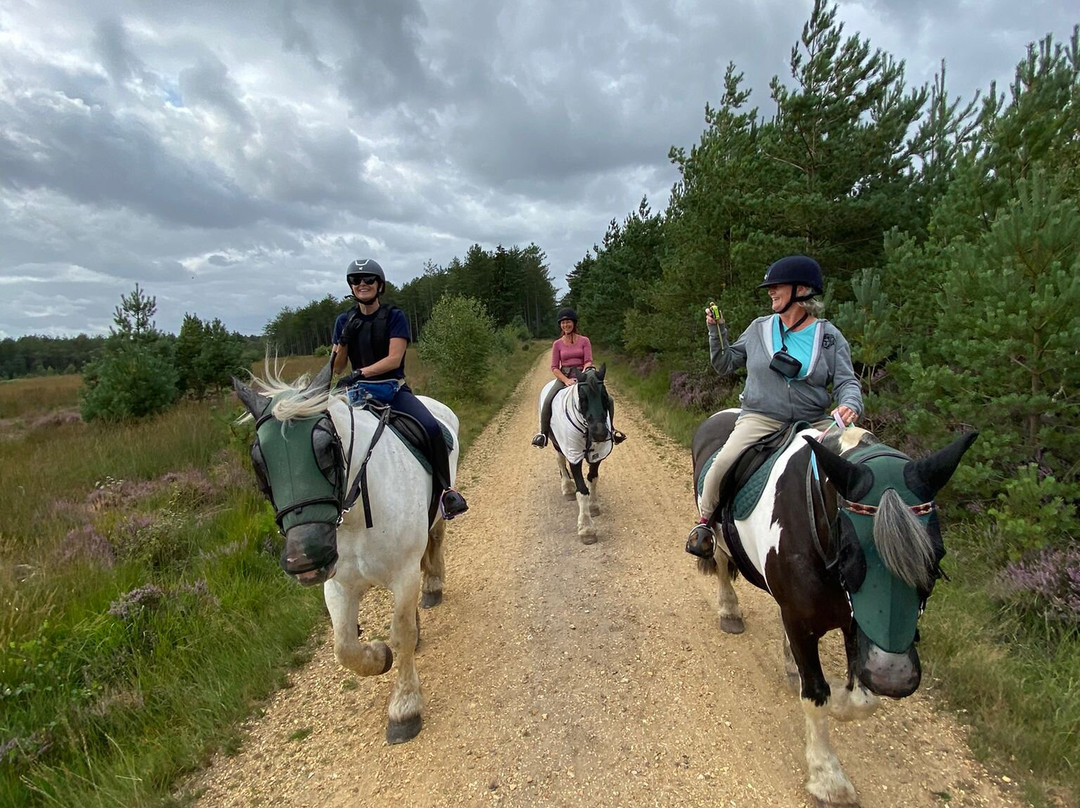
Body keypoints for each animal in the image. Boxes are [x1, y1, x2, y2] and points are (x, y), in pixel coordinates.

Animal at [232, 365, 455, 743]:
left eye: (327, 447)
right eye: (258, 461)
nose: (306, 558)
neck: (355, 516)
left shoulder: (404, 573)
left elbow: (402, 634)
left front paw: (405, 709)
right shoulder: (337, 586)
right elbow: (345, 647)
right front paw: (379, 655)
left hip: (438, 512)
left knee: (435, 540)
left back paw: (433, 587)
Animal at [535, 365, 613, 542]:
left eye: (604, 396)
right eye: (582, 397)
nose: (600, 433)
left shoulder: (597, 455)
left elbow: (593, 479)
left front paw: (593, 506)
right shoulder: (574, 456)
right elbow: (582, 490)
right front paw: (587, 529)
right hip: (557, 443)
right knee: (560, 460)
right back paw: (567, 487)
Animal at [691, 412, 980, 803]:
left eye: (935, 558)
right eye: (851, 551)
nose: (895, 678)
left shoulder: (858, 623)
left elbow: (862, 699)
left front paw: (845, 701)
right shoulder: (804, 620)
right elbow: (816, 695)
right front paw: (827, 777)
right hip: (717, 532)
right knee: (721, 561)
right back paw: (729, 611)